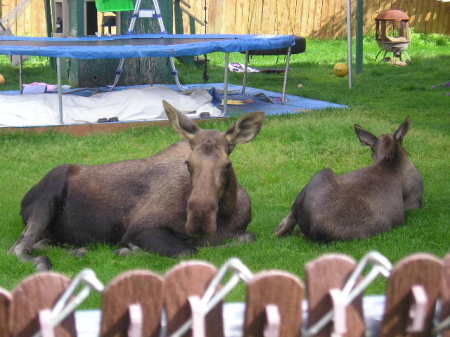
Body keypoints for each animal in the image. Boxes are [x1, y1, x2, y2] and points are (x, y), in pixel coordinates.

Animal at [10, 100, 266, 270]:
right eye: (188, 163)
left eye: (227, 164)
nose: (199, 218)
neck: (226, 216)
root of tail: (24, 199)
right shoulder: (140, 228)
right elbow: (189, 250)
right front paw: (129, 250)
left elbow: (246, 239)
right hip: (49, 194)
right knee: (18, 247)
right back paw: (43, 262)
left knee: (38, 242)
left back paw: (78, 250)